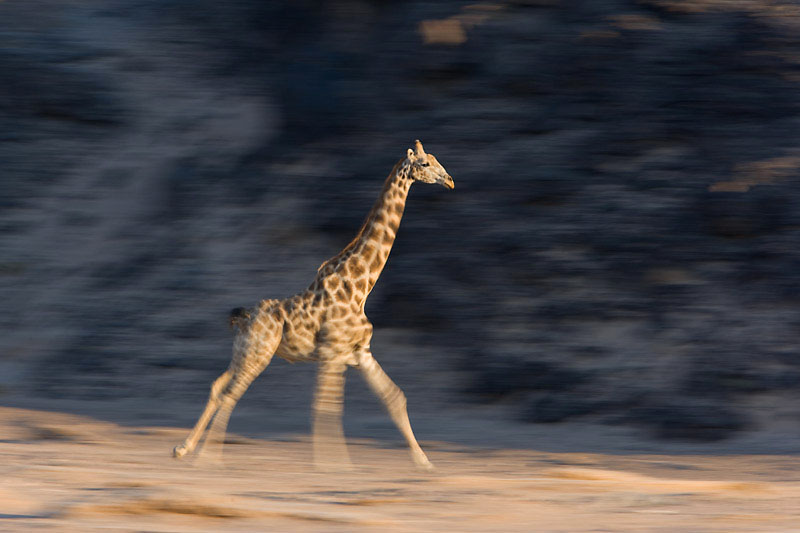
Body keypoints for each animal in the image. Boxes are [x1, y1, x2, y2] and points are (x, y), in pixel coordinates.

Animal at [172, 138, 454, 470]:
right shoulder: (333, 354)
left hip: (244, 352)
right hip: (259, 354)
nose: (449, 180)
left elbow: (394, 397)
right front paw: (333, 464)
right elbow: (327, 407)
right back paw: (207, 457)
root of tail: (243, 317)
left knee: (218, 387)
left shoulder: (360, 353)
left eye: (436, 159)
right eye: (425, 163)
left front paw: (424, 462)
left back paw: (183, 448)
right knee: (231, 394)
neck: (360, 287)